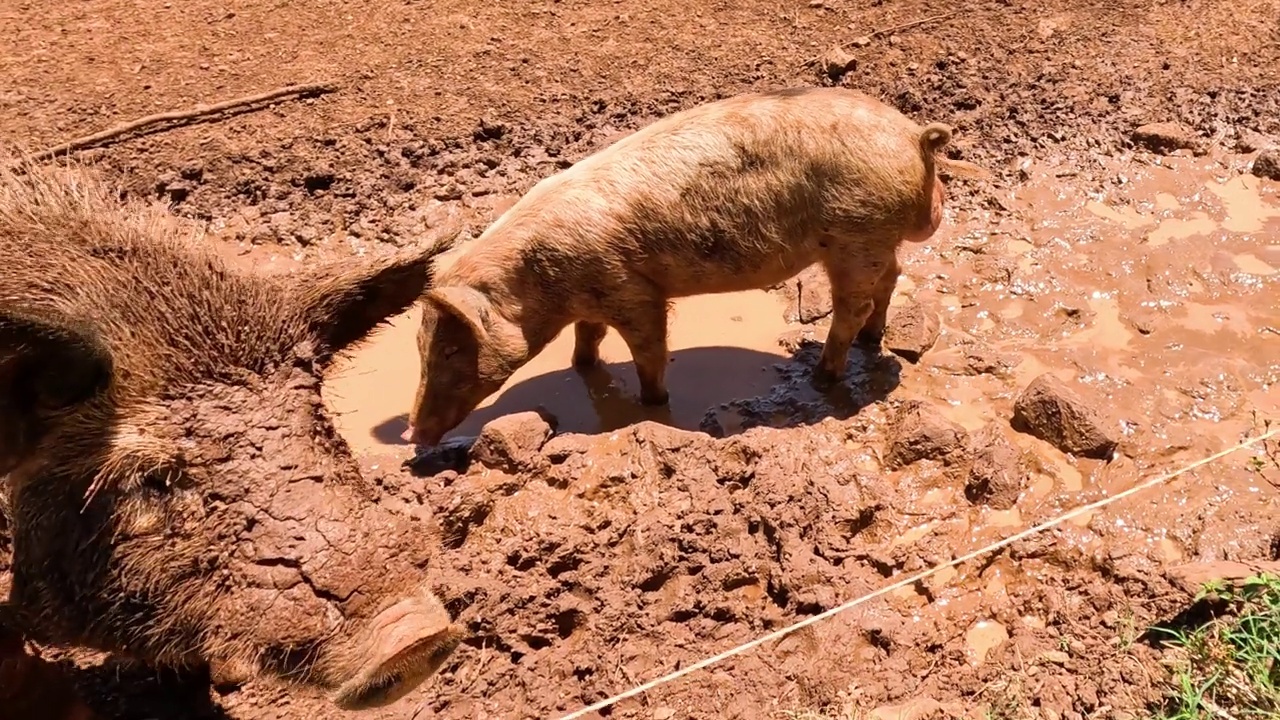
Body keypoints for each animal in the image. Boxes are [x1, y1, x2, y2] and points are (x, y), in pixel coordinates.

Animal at [404, 83, 983, 443]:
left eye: (453, 349)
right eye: (421, 346)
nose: (414, 436)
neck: (541, 277)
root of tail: (914, 137)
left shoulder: (632, 289)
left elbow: (649, 350)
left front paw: (653, 406)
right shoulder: (594, 294)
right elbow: (589, 337)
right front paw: (581, 368)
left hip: (855, 238)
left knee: (853, 306)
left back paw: (823, 378)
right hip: (873, 241)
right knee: (891, 281)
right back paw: (869, 344)